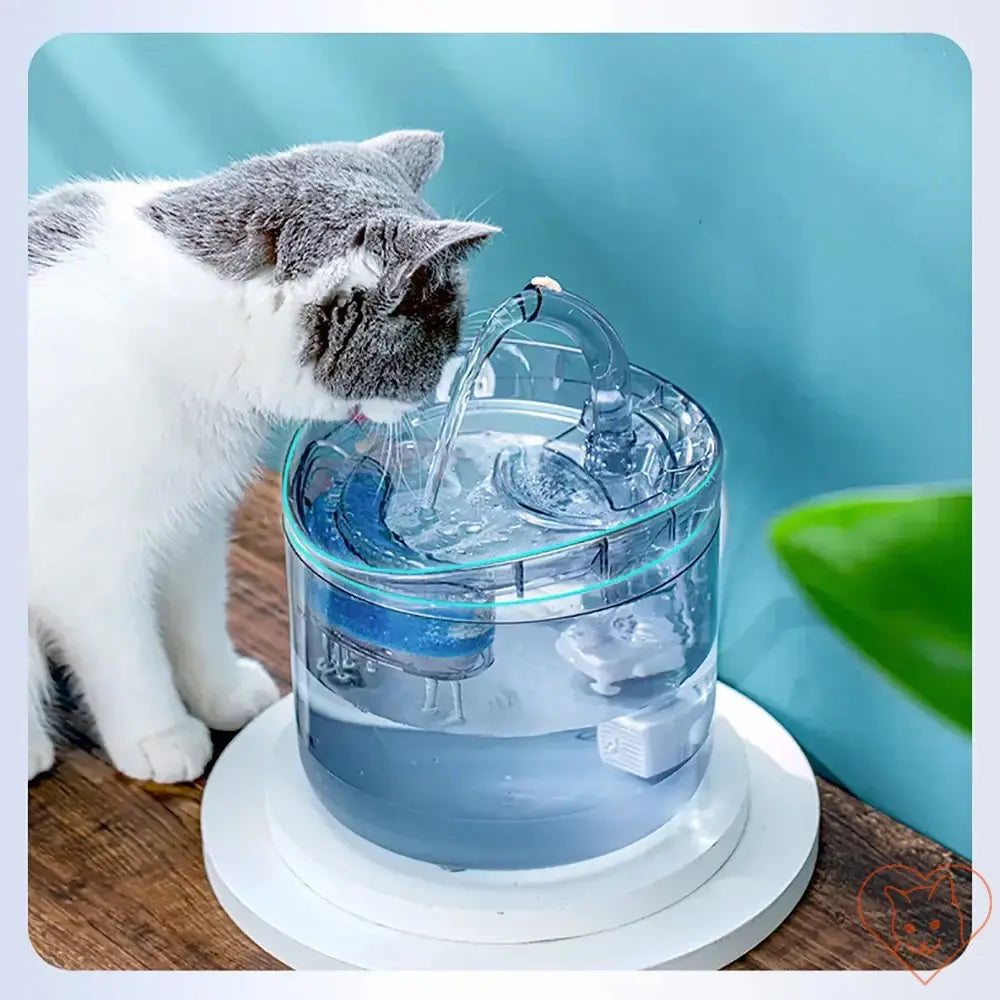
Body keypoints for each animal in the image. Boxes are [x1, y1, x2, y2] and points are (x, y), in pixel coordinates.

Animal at [29, 133, 498, 784]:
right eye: (441, 343)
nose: (434, 399)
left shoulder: (192, 524)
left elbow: (197, 615)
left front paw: (222, 693)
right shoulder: (85, 557)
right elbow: (125, 654)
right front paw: (160, 735)